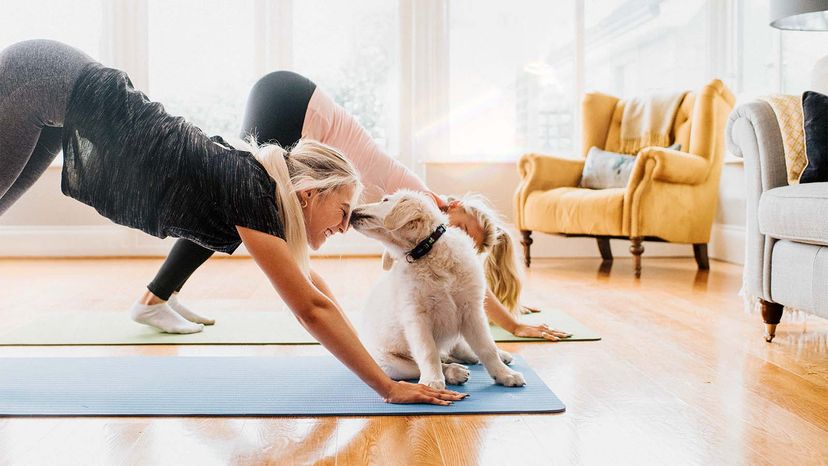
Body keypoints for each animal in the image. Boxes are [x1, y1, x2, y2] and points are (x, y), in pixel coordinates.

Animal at [350, 189, 524, 390]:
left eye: (384, 200)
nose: (352, 212)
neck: (425, 250)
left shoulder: (471, 310)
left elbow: (487, 347)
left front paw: (504, 374)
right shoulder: (416, 317)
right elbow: (428, 352)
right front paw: (432, 381)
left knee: (463, 348)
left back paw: (498, 356)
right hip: (389, 364)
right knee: (428, 362)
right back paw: (454, 372)